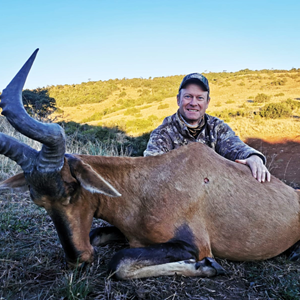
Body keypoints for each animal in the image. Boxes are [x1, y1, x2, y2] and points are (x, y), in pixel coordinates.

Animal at [0, 48, 300, 278]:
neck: (147, 184)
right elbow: (99, 236)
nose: (79, 259)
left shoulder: (193, 244)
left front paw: (207, 266)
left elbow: (119, 262)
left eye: (71, 189)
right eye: (38, 201)